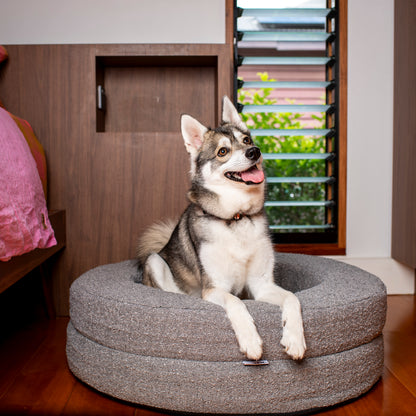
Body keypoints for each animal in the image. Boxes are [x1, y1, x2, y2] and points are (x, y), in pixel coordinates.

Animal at [136, 95, 306, 360]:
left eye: (246, 140)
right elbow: (236, 302)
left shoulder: (262, 285)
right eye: (223, 151)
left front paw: (295, 339)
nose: (254, 152)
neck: (237, 218)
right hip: (155, 260)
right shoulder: (215, 288)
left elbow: (292, 299)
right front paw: (251, 340)